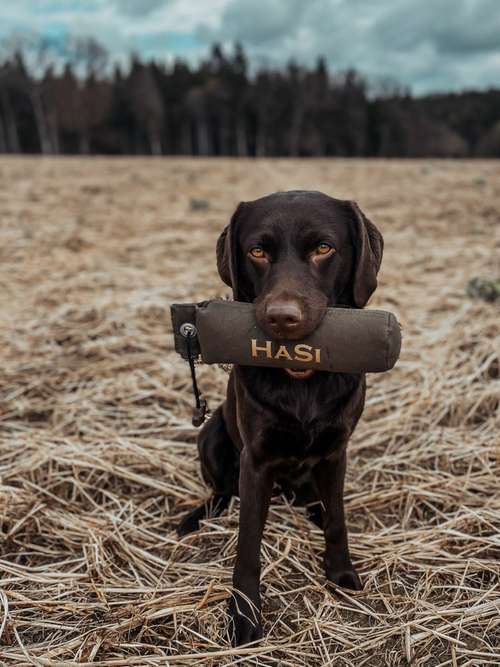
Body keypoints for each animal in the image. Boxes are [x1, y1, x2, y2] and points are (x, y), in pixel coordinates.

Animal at [178, 190, 384, 644]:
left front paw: (341, 573)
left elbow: (339, 518)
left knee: (319, 501)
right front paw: (244, 618)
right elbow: (248, 544)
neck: (301, 381)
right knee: (221, 491)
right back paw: (196, 518)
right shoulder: (256, 461)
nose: (282, 318)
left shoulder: (336, 451)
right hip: (212, 435)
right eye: (257, 251)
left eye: (323, 248)